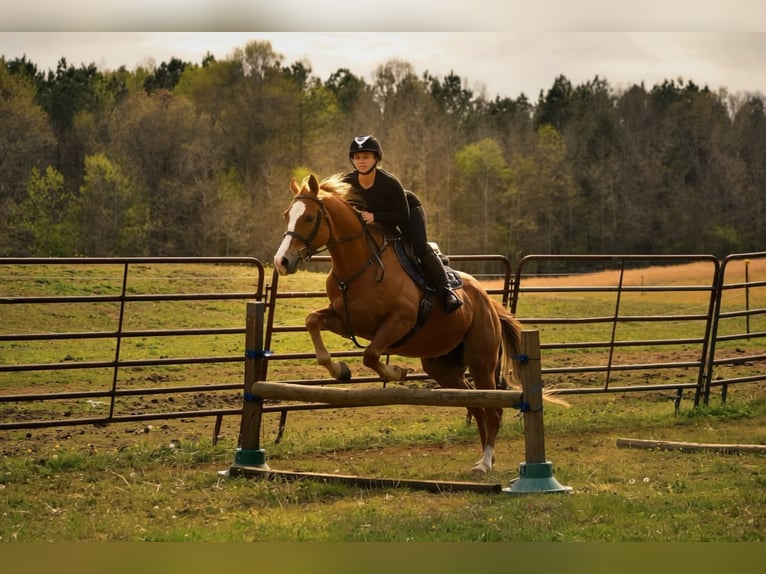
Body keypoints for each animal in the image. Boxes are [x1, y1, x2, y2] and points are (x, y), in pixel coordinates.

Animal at [272, 173, 526, 475]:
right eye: (286, 215)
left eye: (309, 217)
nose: (281, 261)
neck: (360, 263)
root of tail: (488, 302)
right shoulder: (345, 321)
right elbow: (312, 321)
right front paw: (340, 370)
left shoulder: (400, 321)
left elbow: (371, 355)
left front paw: (396, 371)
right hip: (442, 366)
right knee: (475, 405)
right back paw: (485, 458)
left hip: (481, 362)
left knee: (492, 409)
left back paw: (485, 463)